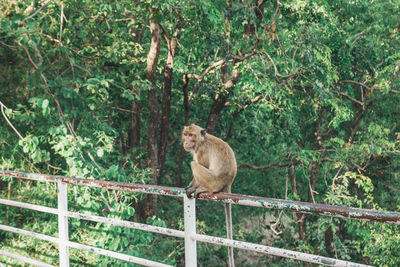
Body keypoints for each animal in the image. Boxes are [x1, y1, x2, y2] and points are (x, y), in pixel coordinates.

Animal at [182, 124, 236, 266]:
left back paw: (203, 188)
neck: (201, 141)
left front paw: (193, 187)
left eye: (191, 135)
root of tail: (228, 183)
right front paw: (189, 186)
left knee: (194, 164)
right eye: (186, 134)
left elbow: (201, 164)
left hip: (212, 181)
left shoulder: (202, 151)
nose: (186, 141)